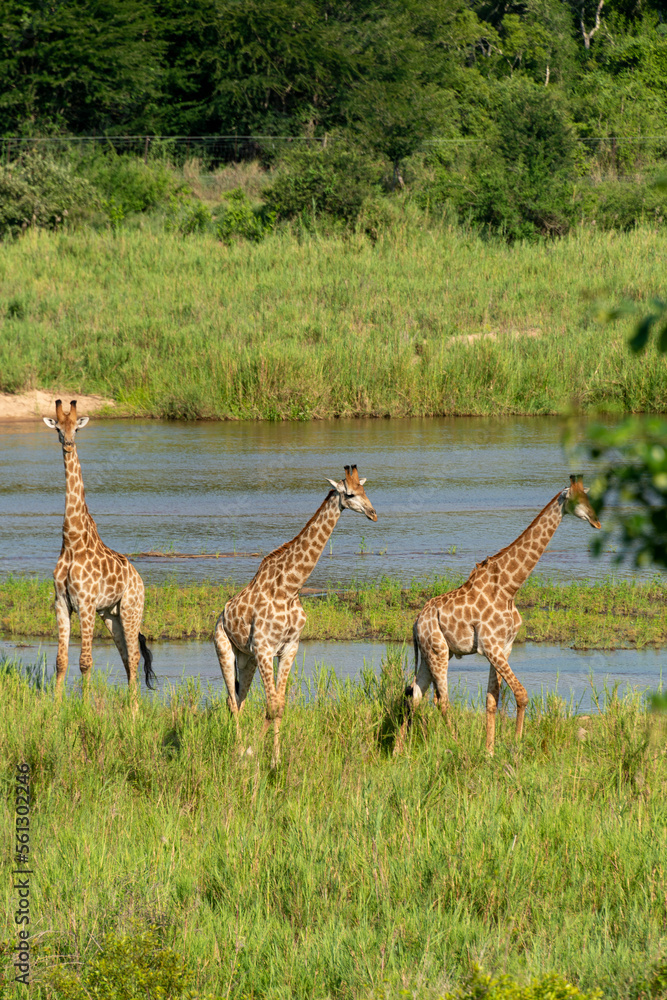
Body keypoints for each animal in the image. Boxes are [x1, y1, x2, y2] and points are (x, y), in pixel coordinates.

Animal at [43, 400, 155, 701]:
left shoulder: (85, 603)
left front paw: (83, 706)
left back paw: (134, 707)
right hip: (110, 615)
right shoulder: (62, 602)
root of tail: (139, 579)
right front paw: (55, 706)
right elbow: (61, 661)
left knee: (135, 657)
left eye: (76, 429)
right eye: (58, 428)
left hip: (130, 609)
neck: (72, 541)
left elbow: (85, 661)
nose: (68, 444)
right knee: (126, 657)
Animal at [214, 465, 377, 763]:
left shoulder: (289, 647)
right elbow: (271, 705)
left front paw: (275, 758)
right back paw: (238, 750)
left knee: (240, 700)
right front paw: (256, 753)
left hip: (246, 659)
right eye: (349, 493)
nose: (373, 513)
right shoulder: (265, 648)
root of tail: (221, 614)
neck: (289, 588)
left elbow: (279, 705)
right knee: (231, 701)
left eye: (364, 489)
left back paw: (240, 747)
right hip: (224, 649)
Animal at [400, 476, 601, 753]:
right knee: (441, 701)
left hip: (433, 653)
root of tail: (416, 621)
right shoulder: (491, 647)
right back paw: (456, 744)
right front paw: (515, 745)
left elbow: (492, 700)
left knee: (414, 695)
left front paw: (490, 751)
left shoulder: (503, 647)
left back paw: (398, 751)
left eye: (588, 497)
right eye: (576, 499)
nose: (596, 520)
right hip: (437, 651)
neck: (509, 587)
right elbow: (521, 694)